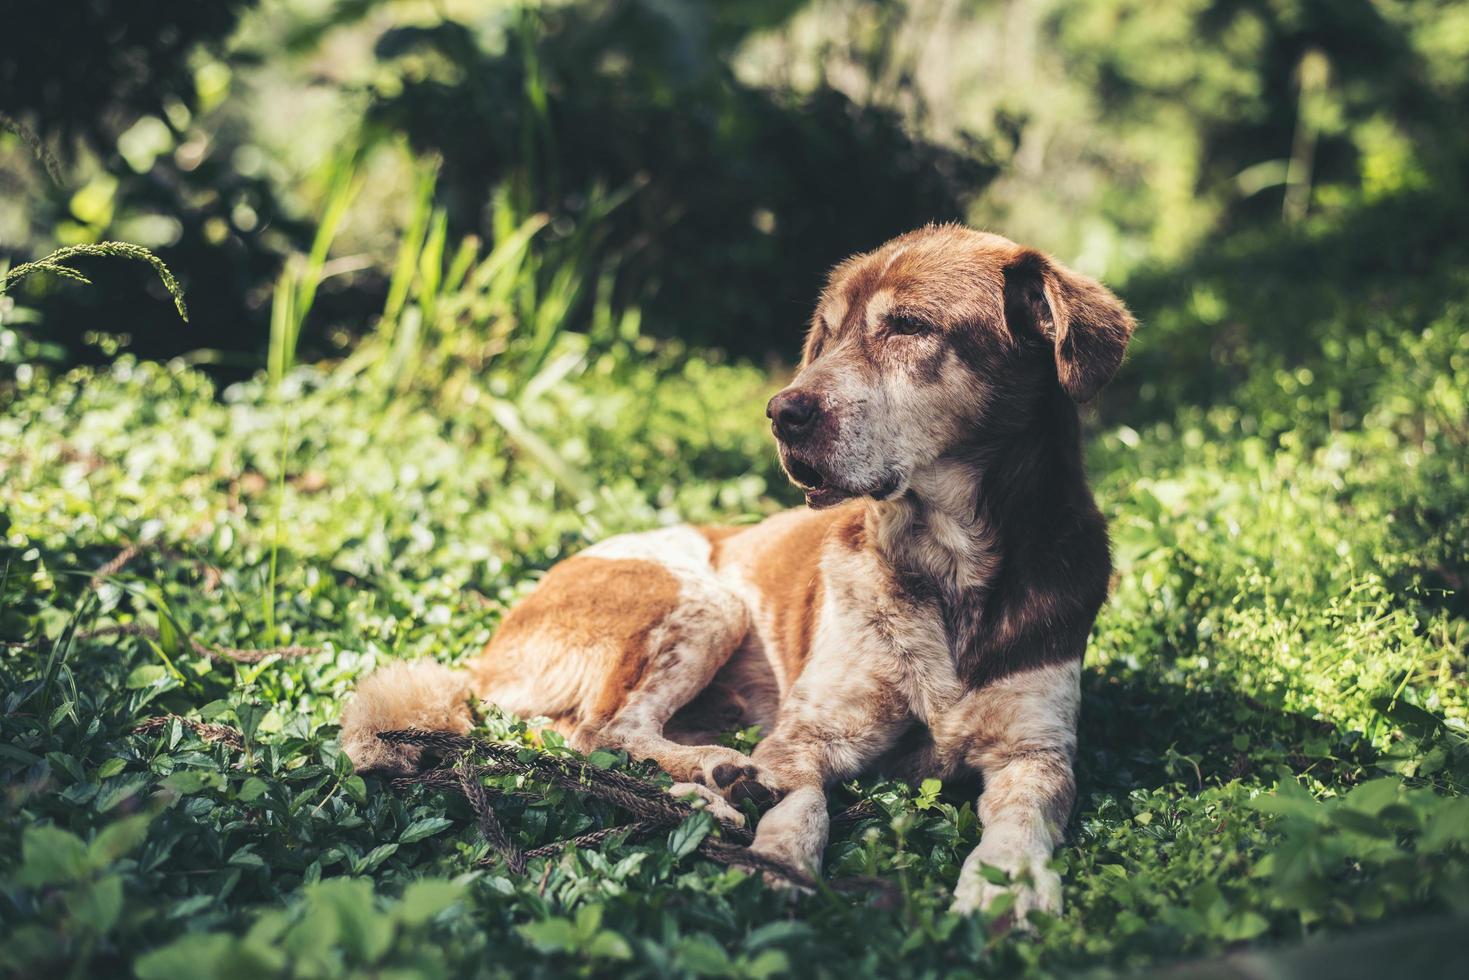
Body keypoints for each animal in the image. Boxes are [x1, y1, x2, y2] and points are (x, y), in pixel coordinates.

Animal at [340, 226, 1134, 922]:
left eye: (908, 326)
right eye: (826, 335)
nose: (783, 412)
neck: (947, 567)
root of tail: (484, 655)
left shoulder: (1037, 754)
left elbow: (1021, 822)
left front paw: (1009, 886)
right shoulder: (804, 737)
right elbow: (800, 800)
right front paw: (777, 859)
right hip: (704, 599)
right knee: (602, 731)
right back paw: (714, 777)